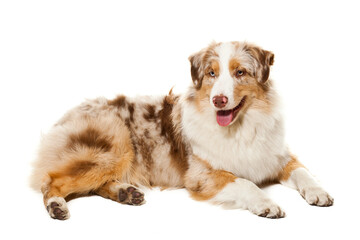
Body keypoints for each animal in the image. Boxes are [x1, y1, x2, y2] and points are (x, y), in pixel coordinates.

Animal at [29, 40, 334, 219]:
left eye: (240, 73)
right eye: (211, 73)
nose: (218, 100)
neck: (241, 128)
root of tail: (67, 115)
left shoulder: (277, 156)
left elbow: (303, 172)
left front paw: (318, 192)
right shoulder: (202, 176)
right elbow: (244, 182)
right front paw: (266, 203)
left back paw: (125, 192)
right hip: (114, 147)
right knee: (51, 179)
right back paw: (56, 204)